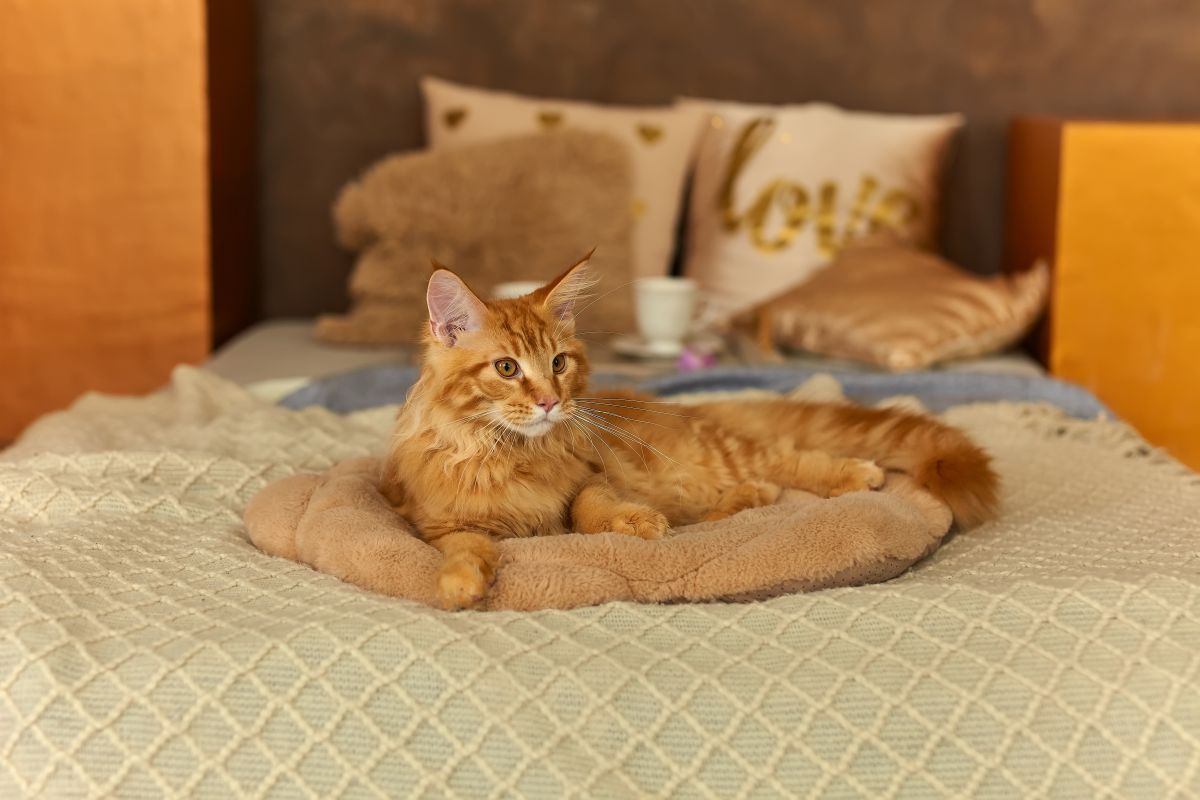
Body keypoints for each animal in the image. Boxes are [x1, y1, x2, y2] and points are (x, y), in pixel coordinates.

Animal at [379, 253, 998, 609]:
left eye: (558, 362)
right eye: (507, 368)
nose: (552, 402)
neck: (512, 454)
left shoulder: (591, 476)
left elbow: (588, 509)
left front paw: (633, 522)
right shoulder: (440, 523)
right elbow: (466, 548)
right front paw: (460, 584)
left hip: (719, 454)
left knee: (787, 457)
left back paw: (852, 475)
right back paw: (748, 498)